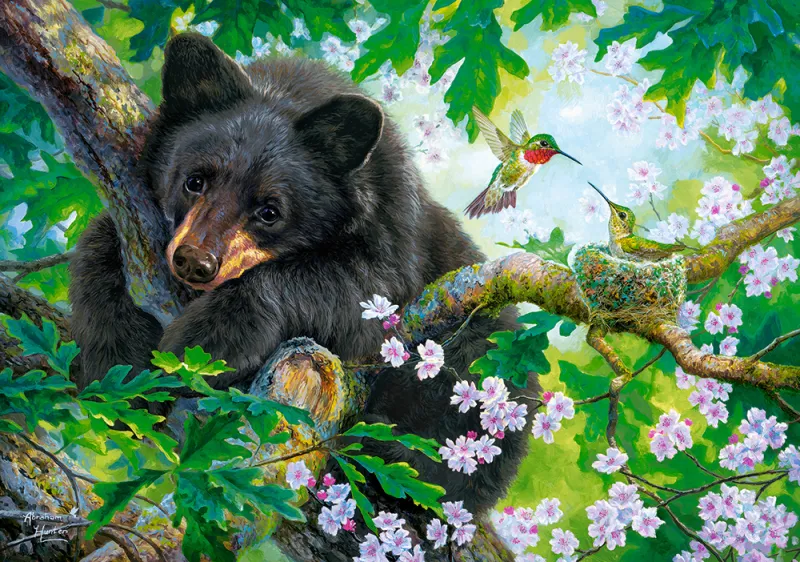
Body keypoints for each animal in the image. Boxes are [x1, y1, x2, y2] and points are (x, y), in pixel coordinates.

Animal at [69, 33, 537, 516]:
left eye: (270, 211)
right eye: (194, 180)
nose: (195, 262)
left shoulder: (393, 241)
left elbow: (356, 293)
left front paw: (205, 342)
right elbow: (101, 241)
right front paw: (116, 361)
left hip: (484, 360)